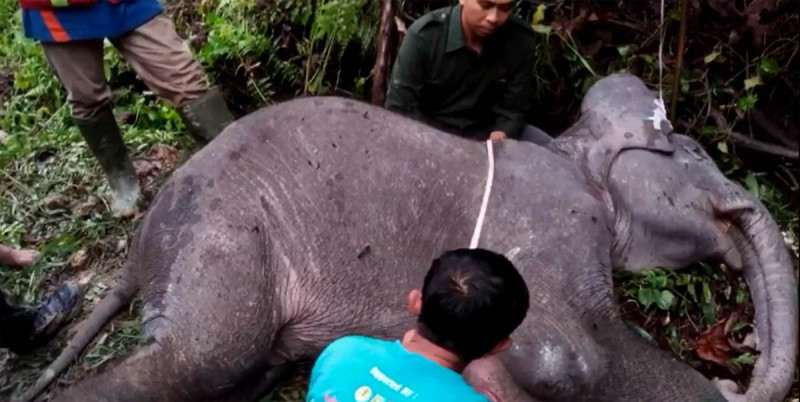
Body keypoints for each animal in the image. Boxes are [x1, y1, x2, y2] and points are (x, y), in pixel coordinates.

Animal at [15, 73, 796, 402]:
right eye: (693, 153)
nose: (734, 374)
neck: (571, 148)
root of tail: (140, 242)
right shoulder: (551, 220)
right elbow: (570, 361)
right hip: (221, 232)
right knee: (197, 360)